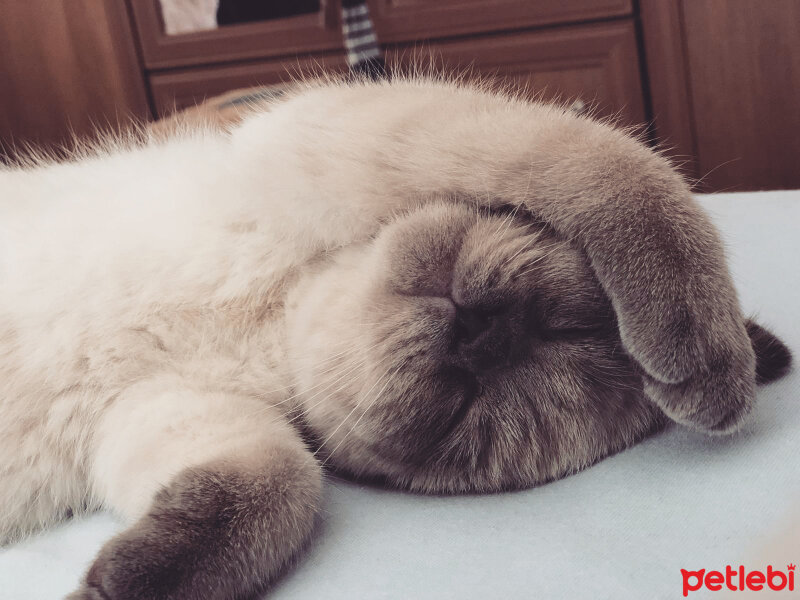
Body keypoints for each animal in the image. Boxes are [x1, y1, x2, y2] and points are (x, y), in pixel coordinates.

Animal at [0, 77, 788, 596]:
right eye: (561, 324)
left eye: (460, 406)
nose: (483, 334)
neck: (271, 326)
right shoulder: (321, 131)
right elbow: (617, 170)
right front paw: (714, 360)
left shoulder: (156, 408)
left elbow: (280, 486)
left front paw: (114, 586)